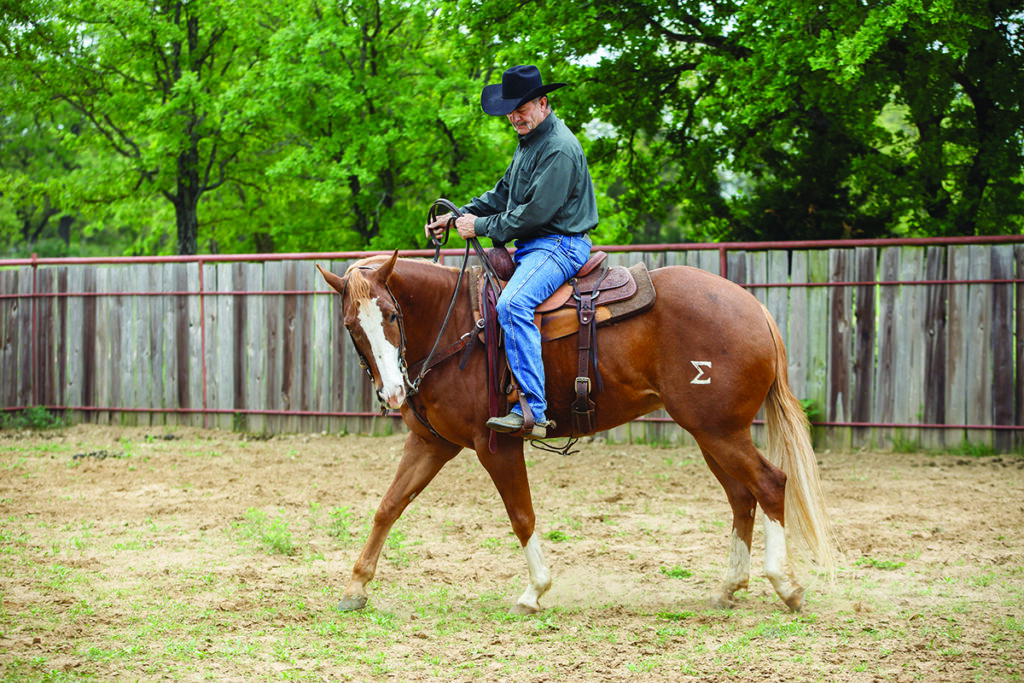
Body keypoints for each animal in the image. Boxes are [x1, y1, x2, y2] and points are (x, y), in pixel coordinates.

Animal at [315, 249, 835, 614]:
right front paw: (356, 587)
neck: (458, 326)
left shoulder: (495, 444)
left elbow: (521, 515)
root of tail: (754, 308)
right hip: (712, 435)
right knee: (742, 496)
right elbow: (388, 507)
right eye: (352, 325)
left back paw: (785, 584)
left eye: (392, 315)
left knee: (770, 484)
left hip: (722, 432)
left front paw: (534, 591)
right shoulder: (431, 444)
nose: (393, 392)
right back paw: (729, 587)